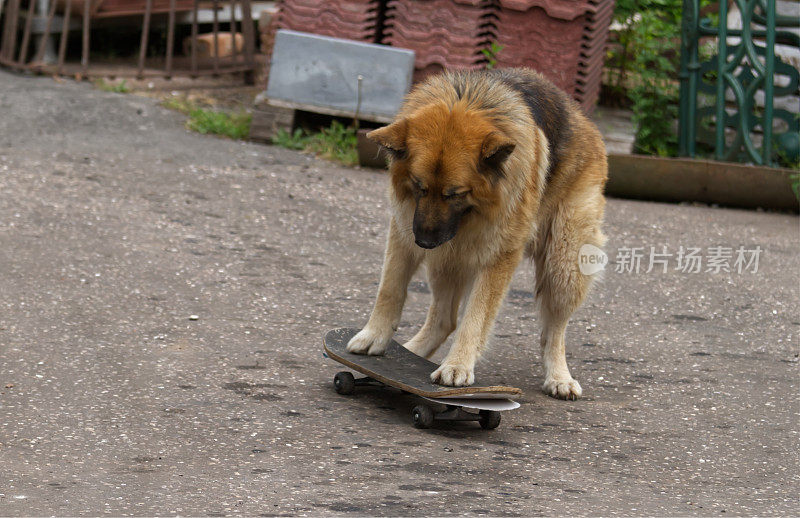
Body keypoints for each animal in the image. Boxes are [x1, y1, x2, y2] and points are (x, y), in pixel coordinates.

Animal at [346, 68, 608, 402]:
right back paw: (408, 354)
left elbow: (476, 317)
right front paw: (374, 336)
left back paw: (559, 377)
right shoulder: (403, 232)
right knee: (444, 319)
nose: (425, 243)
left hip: (563, 265)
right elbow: (390, 289)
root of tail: (584, 120)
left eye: (455, 194)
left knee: (554, 330)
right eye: (419, 187)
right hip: (446, 259)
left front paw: (458, 365)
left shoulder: (499, 257)